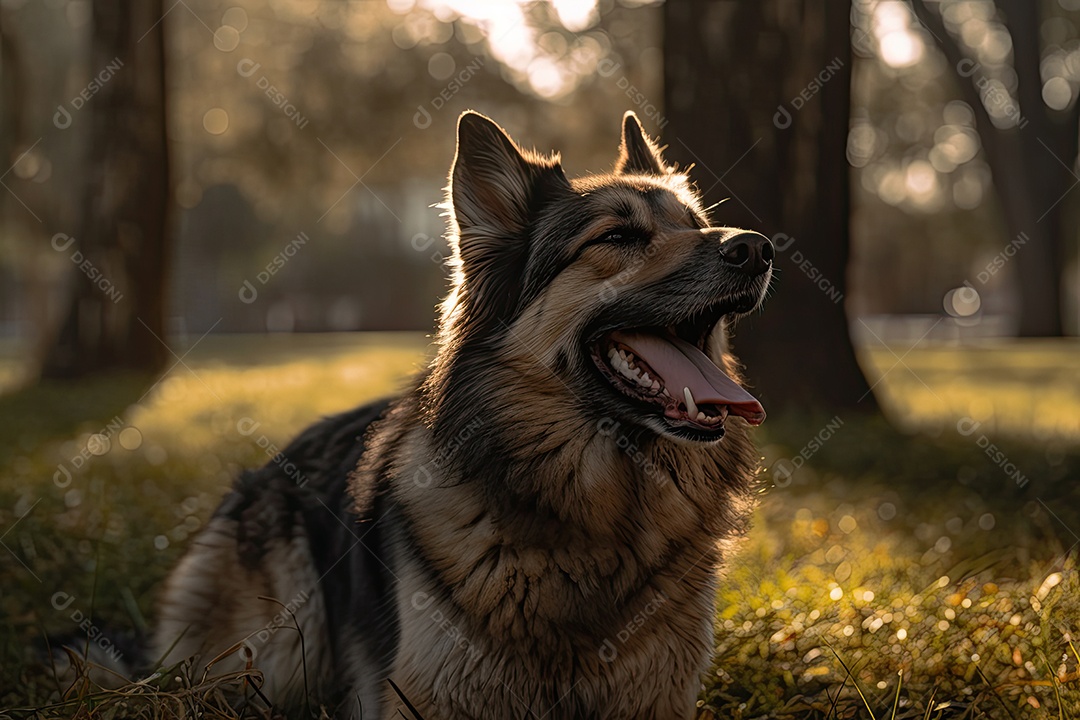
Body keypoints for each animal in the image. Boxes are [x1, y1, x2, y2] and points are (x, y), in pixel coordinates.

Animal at [154, 110, 777, 716]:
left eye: (696, 224)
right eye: (618, 236)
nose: (757, 247)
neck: (595, 514)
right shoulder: (429, 695)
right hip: (277, 650)